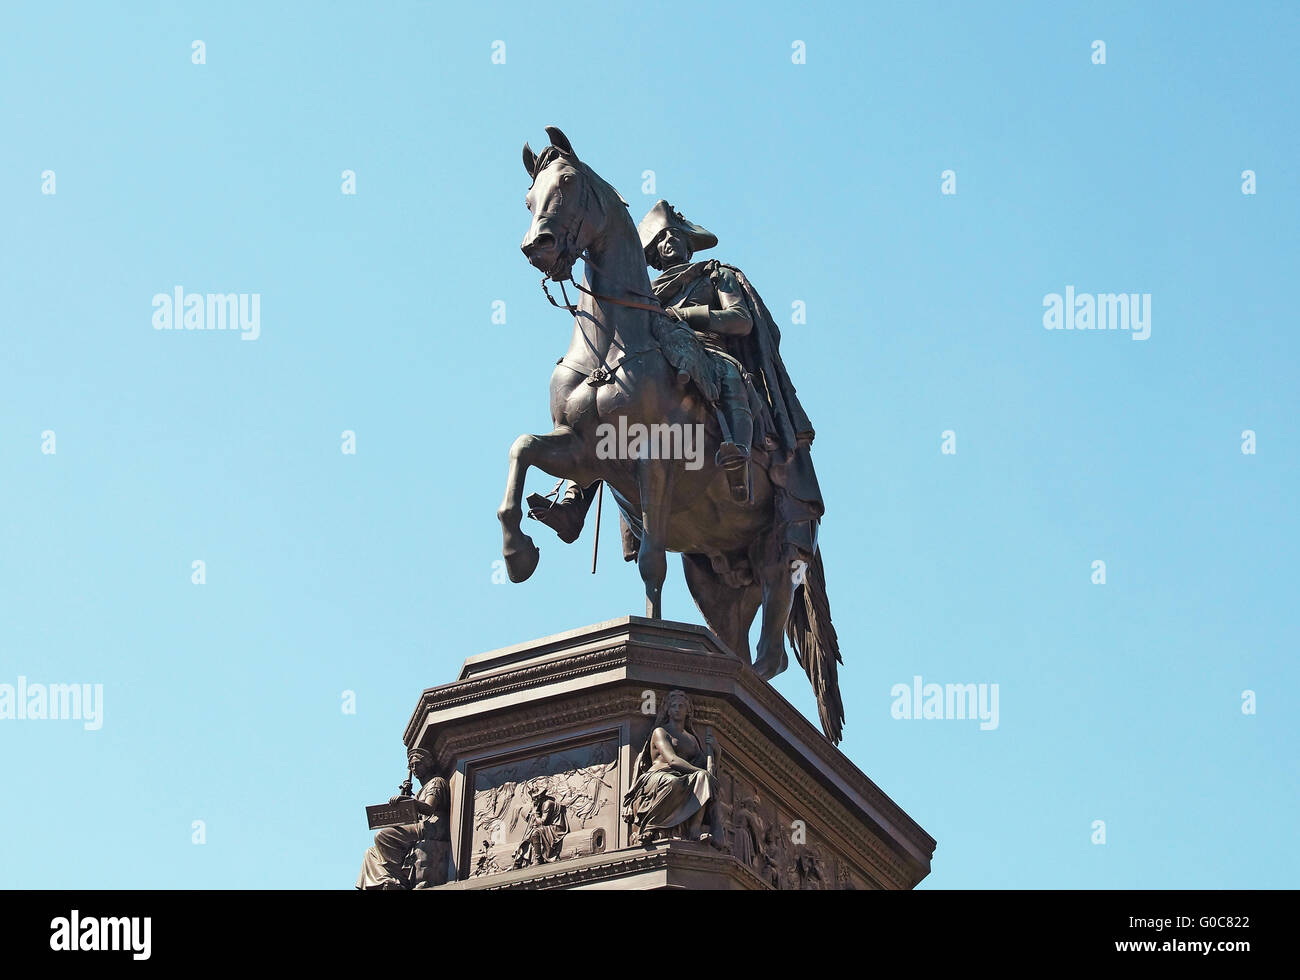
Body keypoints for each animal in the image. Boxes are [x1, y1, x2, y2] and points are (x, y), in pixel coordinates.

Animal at [493, 128, 842, 738]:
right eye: (527, 196)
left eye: (568, 182)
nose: (538, 245)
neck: (612, 341)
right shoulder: (583, 453)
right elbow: (522, 449)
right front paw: (519, 553)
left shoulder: (653, 462)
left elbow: (652, 558)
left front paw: (653, 640)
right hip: (715, 576)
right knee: (735, 637)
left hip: (779, 543)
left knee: (770, 651)